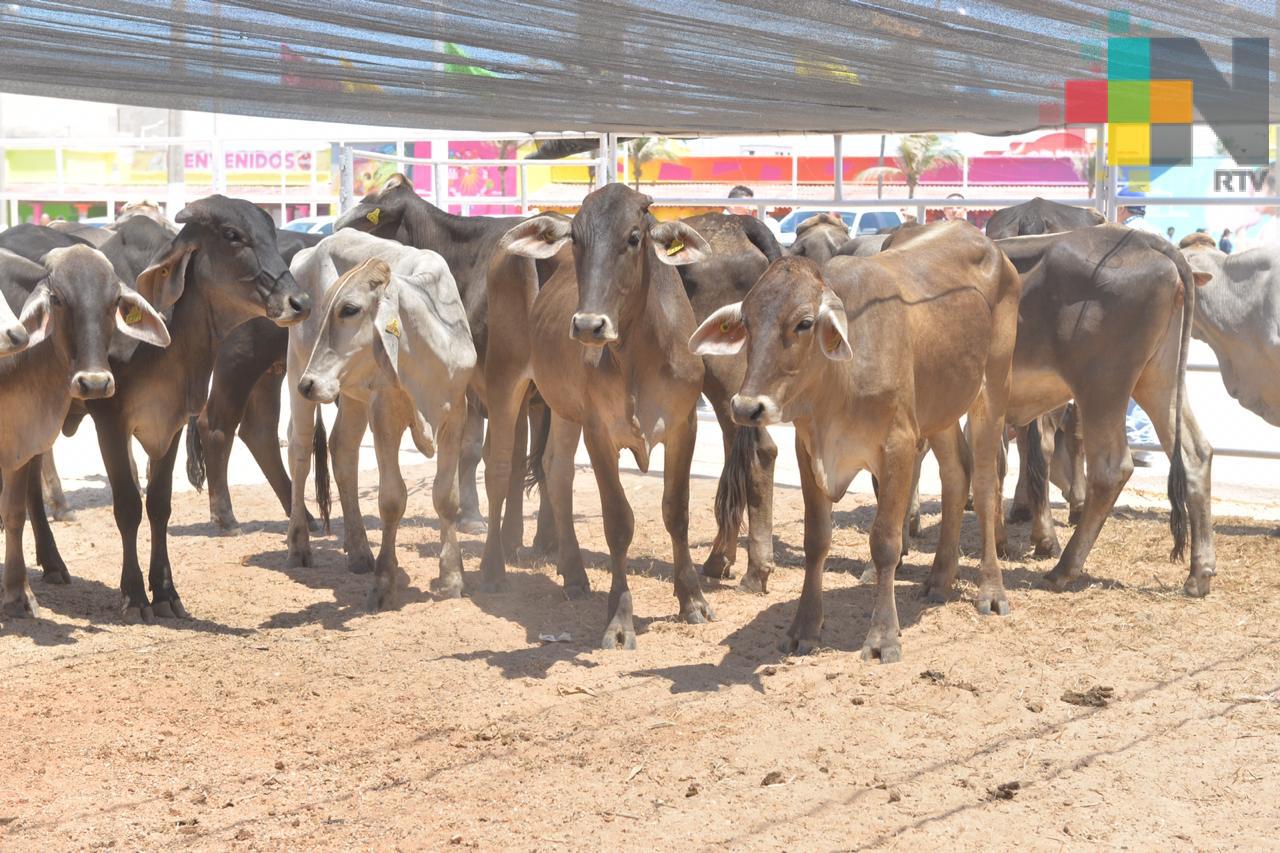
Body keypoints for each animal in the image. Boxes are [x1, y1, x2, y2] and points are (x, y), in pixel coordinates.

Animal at [0, 245, 170, 617]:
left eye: (114, 301)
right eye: (58, 299)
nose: (94, 383)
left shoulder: (22, 435)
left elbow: (15, 512)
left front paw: (19, 594)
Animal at [285, 229, 476, 607]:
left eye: (350, 309)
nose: (310, 384)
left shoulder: (455, 417)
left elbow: (446, 497)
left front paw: (451, 577)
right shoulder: (384, 416)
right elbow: (392, 499)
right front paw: (384, 582)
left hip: (351, 397)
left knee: (342, 450)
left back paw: (359, 551)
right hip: (297, 369)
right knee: (299, 452)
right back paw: (299, 543)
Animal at [483, 184, 716, 645]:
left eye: (634, 237)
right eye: (576, 239)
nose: (588, 326)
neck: (639, 352)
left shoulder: (685, 424)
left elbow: (676, 510)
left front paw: (692, 600)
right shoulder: (599, 431)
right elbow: (618, 521)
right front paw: (620, 620)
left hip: (562, 407)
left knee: (556, 470)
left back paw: (573, 574)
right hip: (504, 384)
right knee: (499, 469)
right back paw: (492, 570)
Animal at [691, 217, 1018, 655]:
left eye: (804, 322)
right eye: (746, 320)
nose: (747, 407)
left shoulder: (898, 445)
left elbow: (885, 542)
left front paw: (882, 637)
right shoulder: (808, 449)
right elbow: (816, 539)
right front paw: (804, 628)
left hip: (992, 389)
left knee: (984, 486)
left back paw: (991, 591)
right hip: (942, 410)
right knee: (955, 477)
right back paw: (938, 580)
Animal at [993, 229, 1213, 594]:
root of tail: (1143, 240)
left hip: (1102, 386)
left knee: (1110, 469)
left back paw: (1064, 567)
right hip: (1159, 379)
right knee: (1195, 453)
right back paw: (1200, 573)